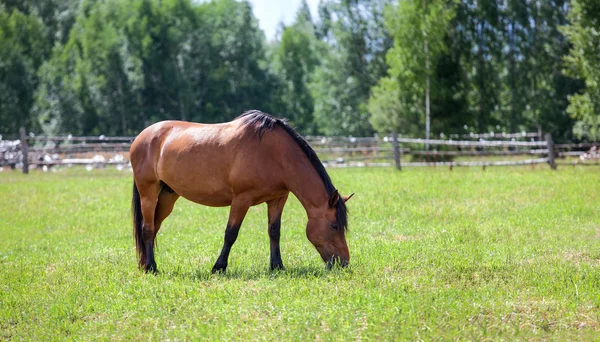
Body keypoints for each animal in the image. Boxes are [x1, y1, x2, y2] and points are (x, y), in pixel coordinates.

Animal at [129, 111, 354, 274]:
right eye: (334, 225)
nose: (344, 263)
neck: (274, 153)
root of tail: (142, 136)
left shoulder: (278, 198)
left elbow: (274, 231)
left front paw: (277, 266)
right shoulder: (241, 199)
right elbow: (231, 233)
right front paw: (218, 267)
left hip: (167, 196)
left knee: (154, 227)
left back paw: (144, 264)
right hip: (148, 192)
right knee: (147, 228)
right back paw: (151, 268)